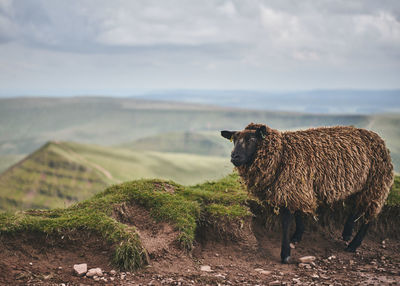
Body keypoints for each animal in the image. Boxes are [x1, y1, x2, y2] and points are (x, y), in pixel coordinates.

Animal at [222, 123, 394, 264]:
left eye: (251, 139)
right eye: (234, 140)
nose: (234, 156)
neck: (282, 153)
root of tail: (379, 139)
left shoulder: (292, 189)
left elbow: (286, 222)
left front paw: (285, 254)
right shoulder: (298, 189)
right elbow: (299, 214)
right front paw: (297, 236)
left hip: (375, 184)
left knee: (369, 216)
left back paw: (353, 245)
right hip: (360, 185)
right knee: (355, 207)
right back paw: (347, 233)